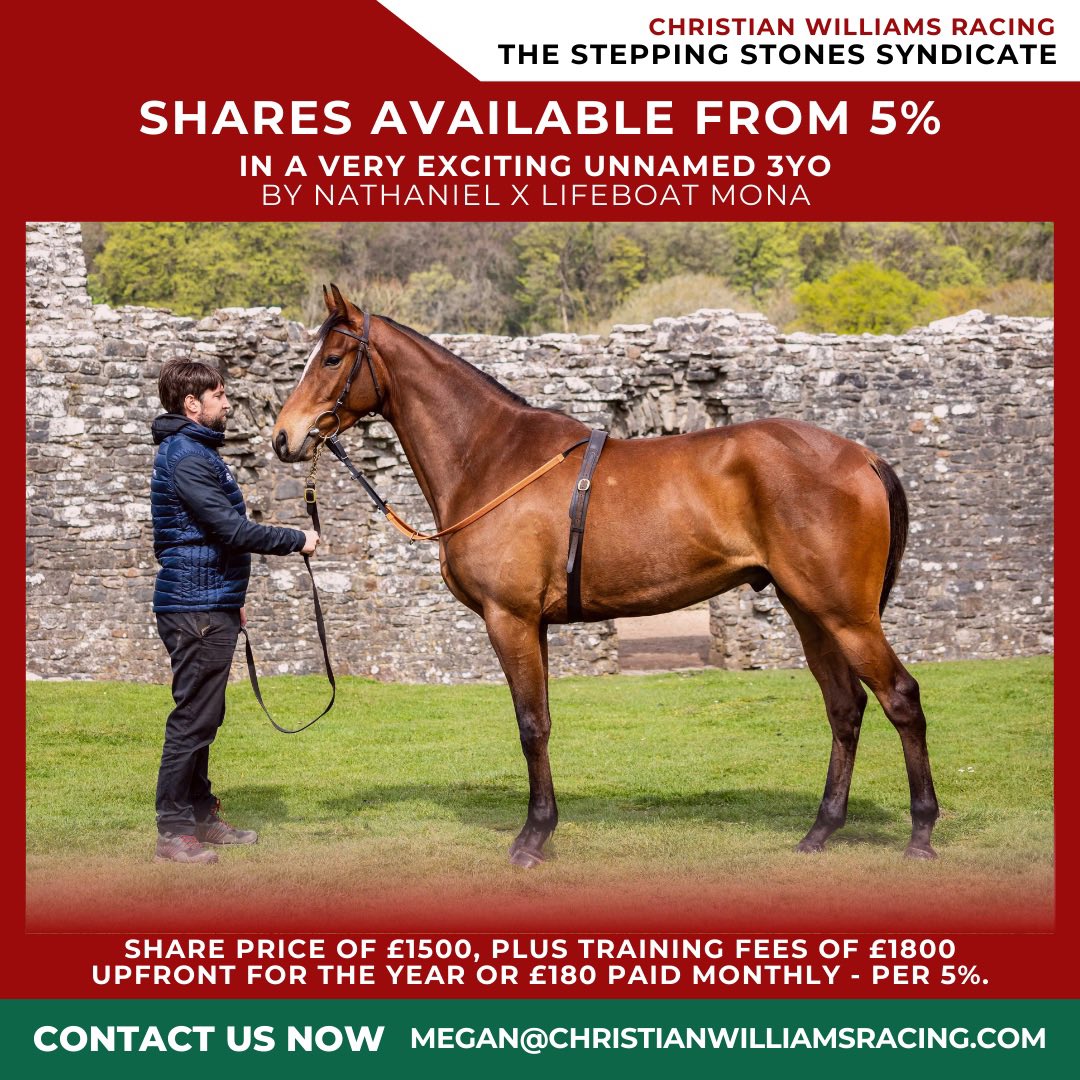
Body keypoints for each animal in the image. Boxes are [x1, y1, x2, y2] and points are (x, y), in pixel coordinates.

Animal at [271, 285, 939, 868]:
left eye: (332, 358)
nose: (283, 437)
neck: (491, 456)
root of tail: (861, 456)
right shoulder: (532, 625)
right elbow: (542, 721)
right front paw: (543, 826)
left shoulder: (509, 620)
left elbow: (530, 726)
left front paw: (532, 838)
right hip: (810, 610)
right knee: (845, 707)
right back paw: (821, 831)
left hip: (845, 613)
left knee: (901, 698)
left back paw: (921, 834)